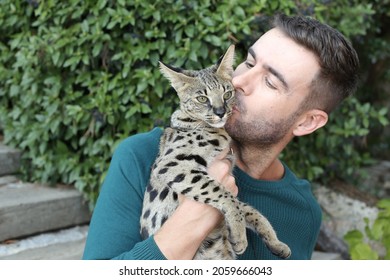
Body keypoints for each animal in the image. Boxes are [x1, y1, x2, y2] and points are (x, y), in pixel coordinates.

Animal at [139, 45, 290, 260]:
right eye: (202, 98)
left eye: (227, 94)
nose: (220, 112)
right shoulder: (172, 164)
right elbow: (222, 192)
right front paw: (240, 235)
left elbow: (250, 210)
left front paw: (276, 243)